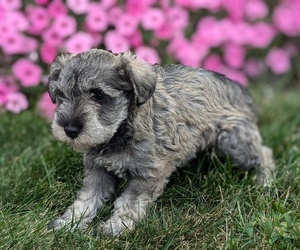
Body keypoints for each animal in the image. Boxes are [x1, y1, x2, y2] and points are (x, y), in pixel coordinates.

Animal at [48, 48, 276, 236]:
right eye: (61, 95)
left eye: (97, 95)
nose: (69, 129)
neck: (119, 131)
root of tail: (239, 89)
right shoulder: (97, 170)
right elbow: (86, 199)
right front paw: (69, 223)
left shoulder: (148, 174)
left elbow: (128, 203)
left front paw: (115, 227)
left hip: (232, 140)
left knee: (264, 153)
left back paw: (265, 182)